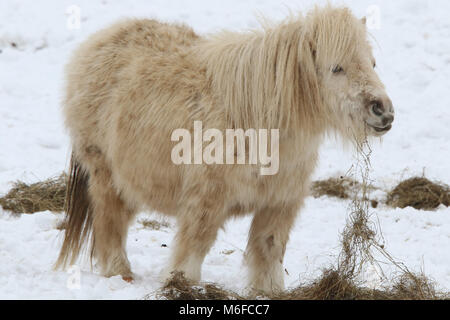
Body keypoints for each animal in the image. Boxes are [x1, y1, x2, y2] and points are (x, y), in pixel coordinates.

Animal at [55, 5, 394, 296]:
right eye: (337, 68)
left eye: (373, 63)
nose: (383, 111)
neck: (258, 121)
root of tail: (99, 42)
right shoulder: (206, 201)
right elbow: (194, 247)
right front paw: (181, 285)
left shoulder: (279, 202)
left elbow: (269, 250)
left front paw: (267, 292)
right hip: (105, 175)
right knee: (110, 224)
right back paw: (120, 273)